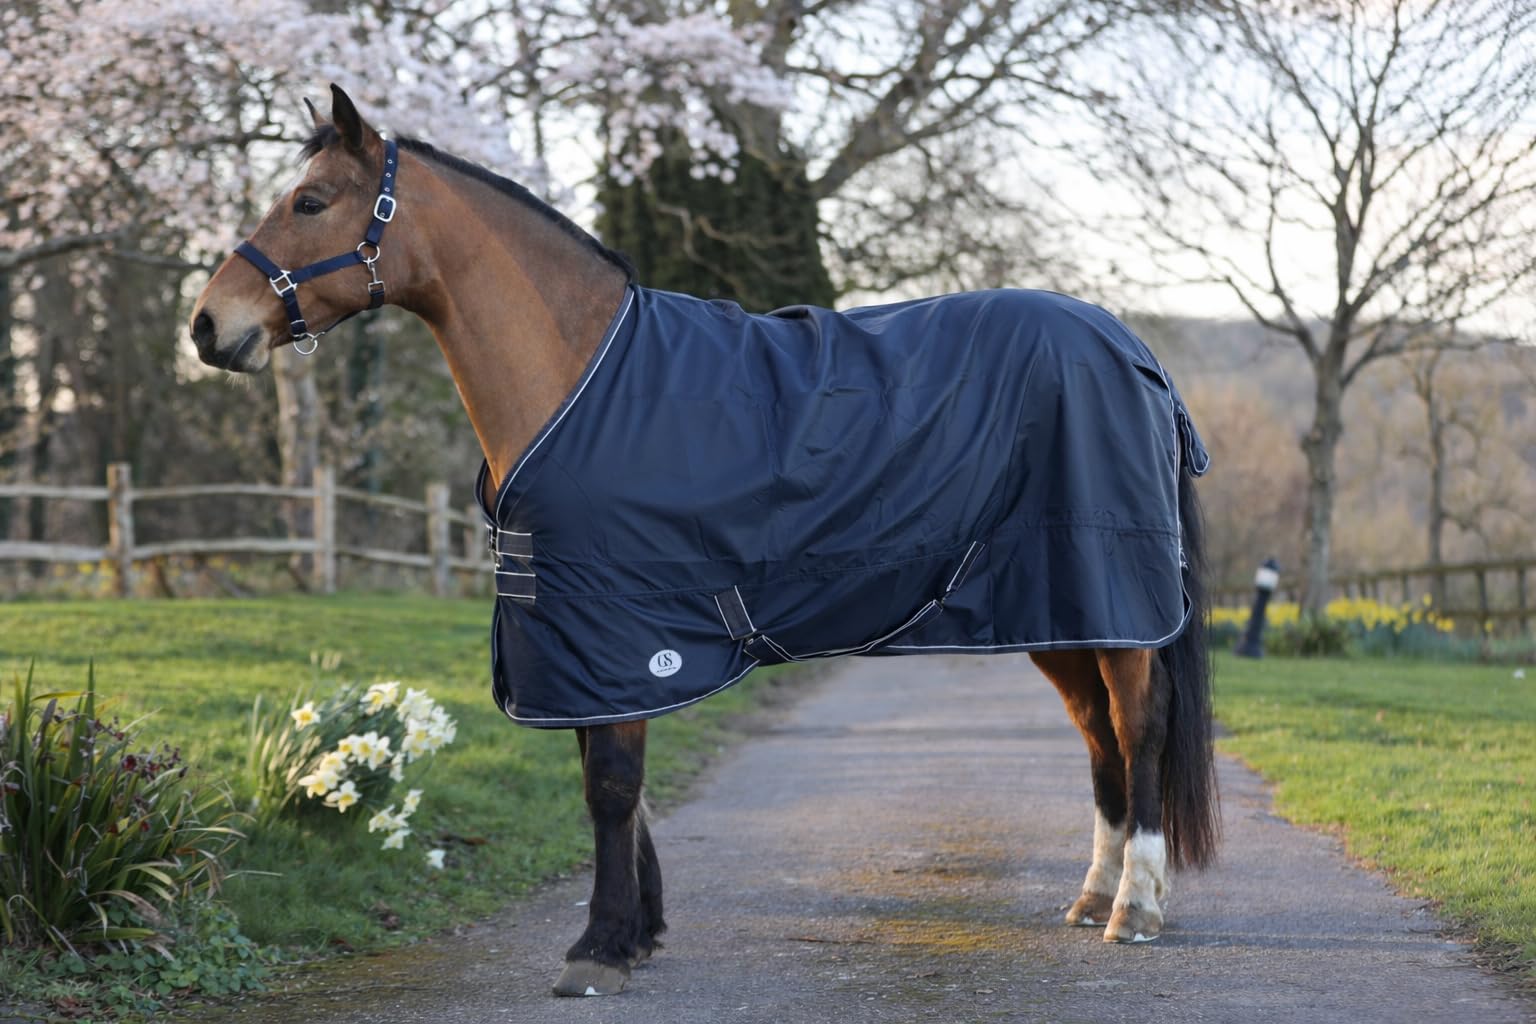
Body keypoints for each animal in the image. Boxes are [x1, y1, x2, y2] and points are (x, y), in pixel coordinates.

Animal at [189, 85, 1219, 998]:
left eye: (310, 201)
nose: (206, 326)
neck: (581, 378)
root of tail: (1134, 352)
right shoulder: (588, 639)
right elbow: (612, 779)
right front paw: (637, 934)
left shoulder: (619, 627)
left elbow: (610, 783)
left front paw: (598, 949)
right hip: (1057, 609)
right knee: (1099, 736)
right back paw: (1092, 895)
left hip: (1112, 597)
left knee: (1138, 725)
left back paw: (1135, 908)